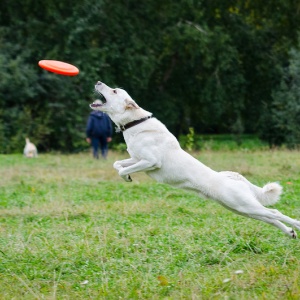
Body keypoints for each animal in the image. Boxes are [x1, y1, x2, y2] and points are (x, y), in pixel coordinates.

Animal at [90, 81, 300, 238]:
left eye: (114, 90)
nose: (98, 82)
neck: (134, 122)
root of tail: (233, 177)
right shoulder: (136, 159)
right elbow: (118, 164)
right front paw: (126, 177)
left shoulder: (150, 162)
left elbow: (123, 168)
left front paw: (126, 176)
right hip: (241, 209)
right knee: (271, 218)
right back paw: (289, 232)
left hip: (243, 205)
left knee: (275, 213)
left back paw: (296, 225)